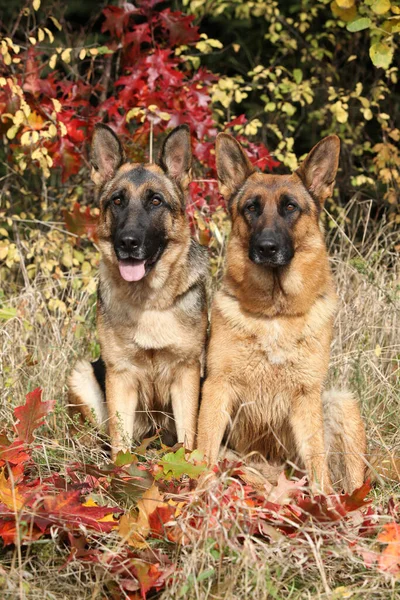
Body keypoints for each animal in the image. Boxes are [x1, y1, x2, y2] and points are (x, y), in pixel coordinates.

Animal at [68, 123, 209, 460]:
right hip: (82, 375)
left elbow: (188, 434)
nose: (128, 243)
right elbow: (121, 442)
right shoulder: (120, 375)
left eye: (155, 201)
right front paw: (119, 469)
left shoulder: (186, 373)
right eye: (117, 201)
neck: (151, 302)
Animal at [197, 135, 366, 492]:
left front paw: (323, 501)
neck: (274, 313)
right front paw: (198, 491)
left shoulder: (306, 397)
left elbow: (317, 461)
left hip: (341, 404)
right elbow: (203, 449)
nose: (267, 248)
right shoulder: (218, 387)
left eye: (290, 207)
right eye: (251, 207)